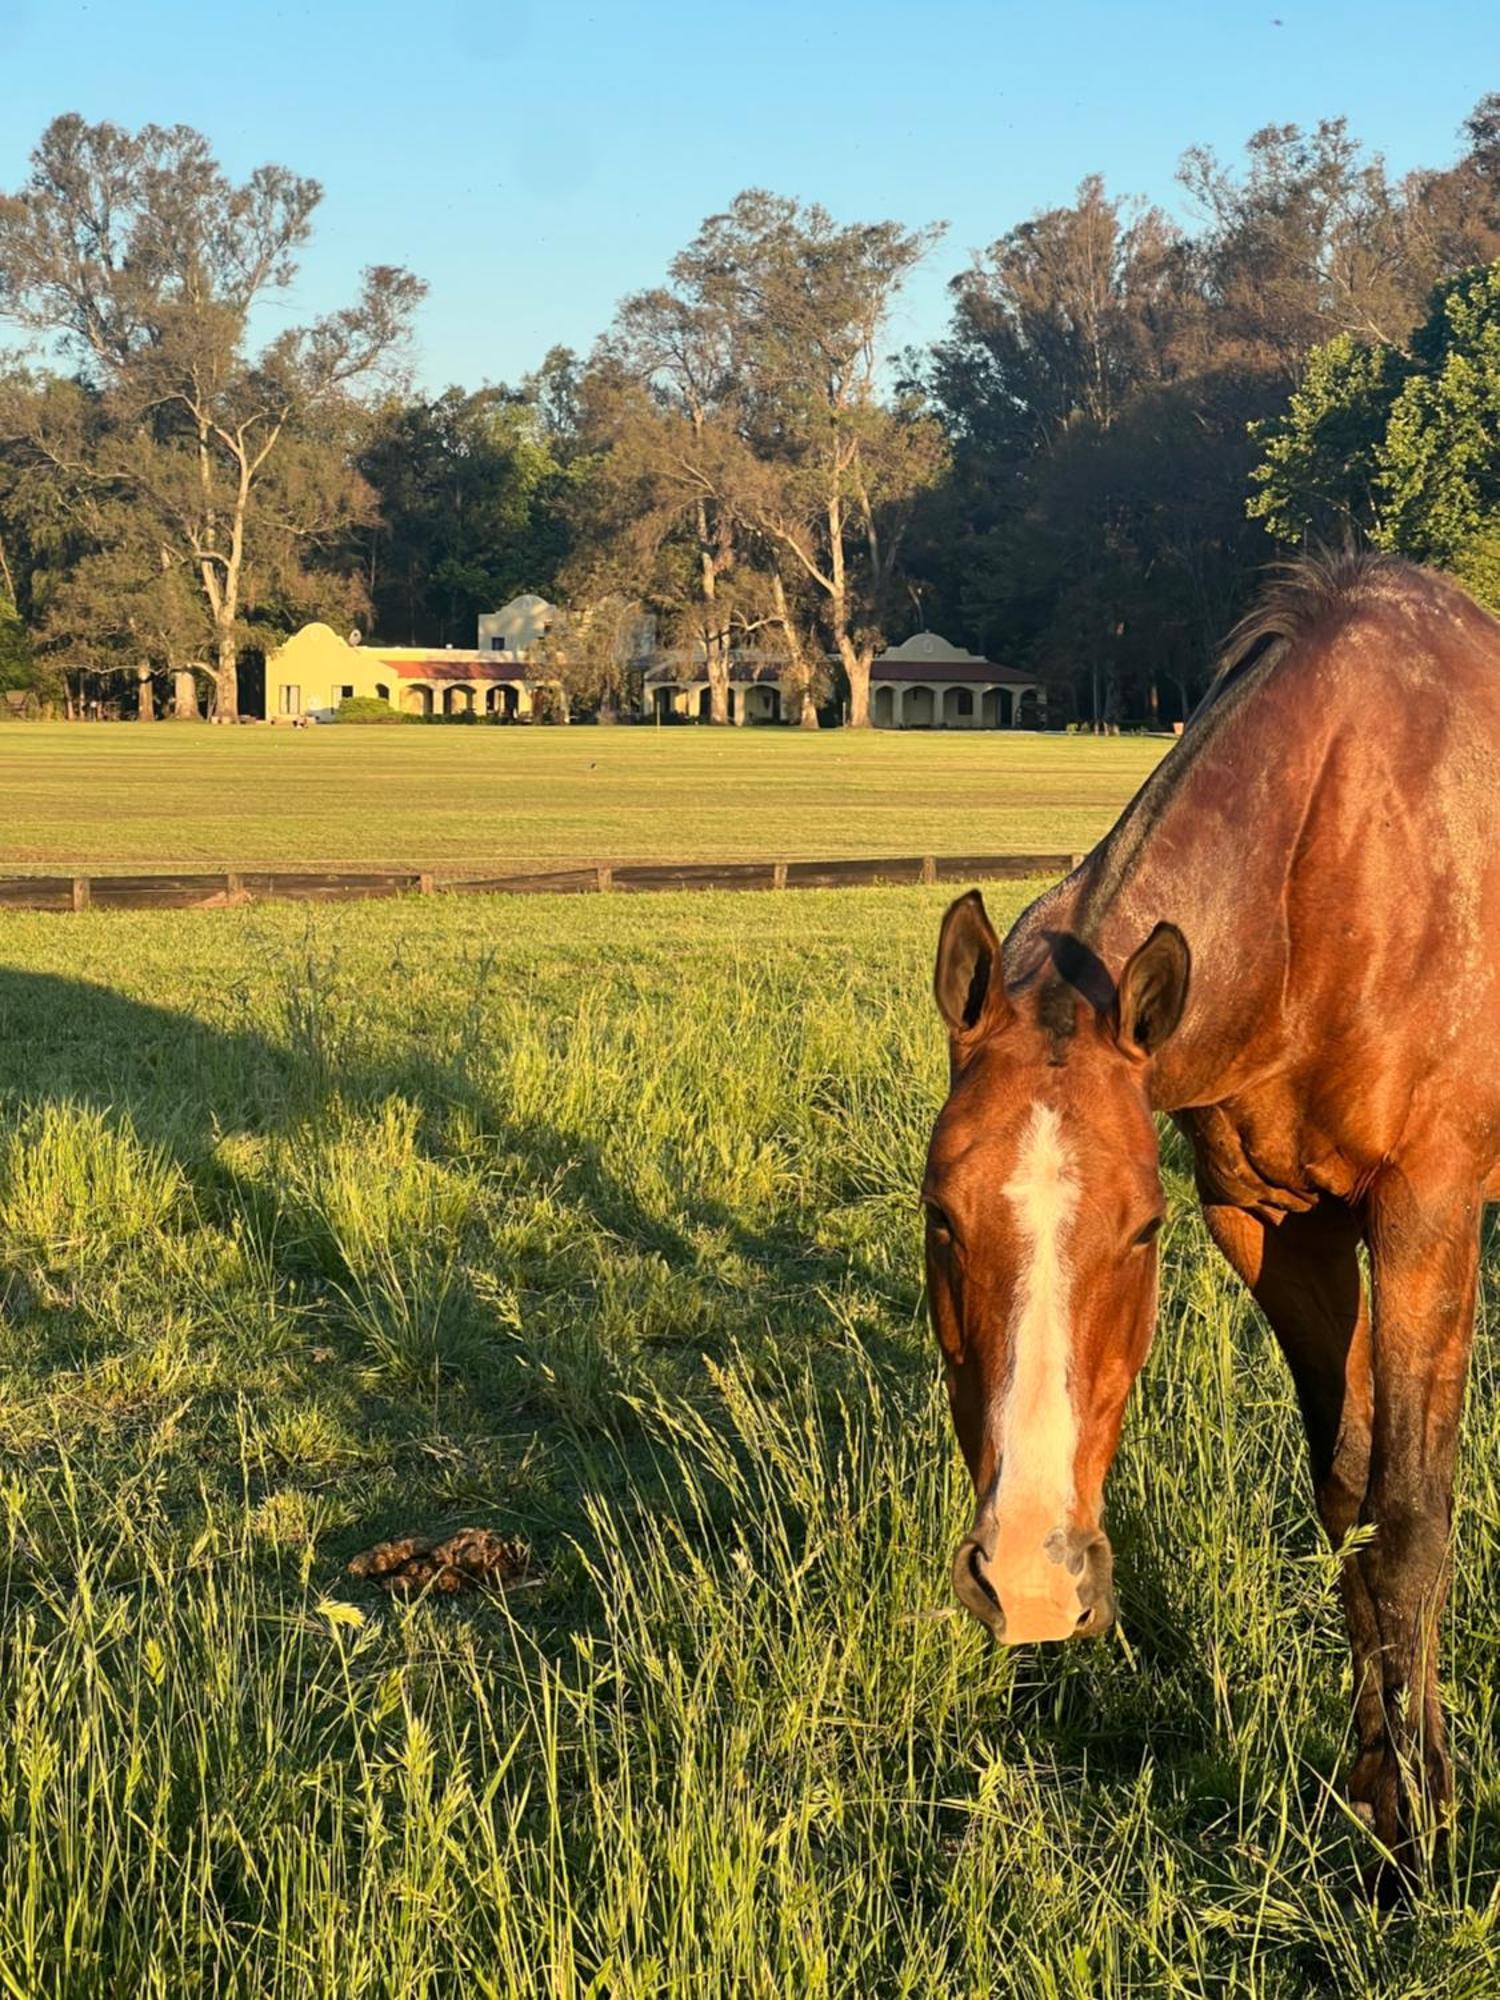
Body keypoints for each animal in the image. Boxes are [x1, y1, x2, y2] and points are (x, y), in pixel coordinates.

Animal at [928, 552, 1500, 1872]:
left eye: (1139, 1231)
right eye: (940, 1219)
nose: (1032, 1578)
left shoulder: (1430, 1212)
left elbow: (1410, 1517)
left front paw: (1426, 1835)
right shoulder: (1269, 1221)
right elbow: (1347, 1498)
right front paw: (1374, 1791)